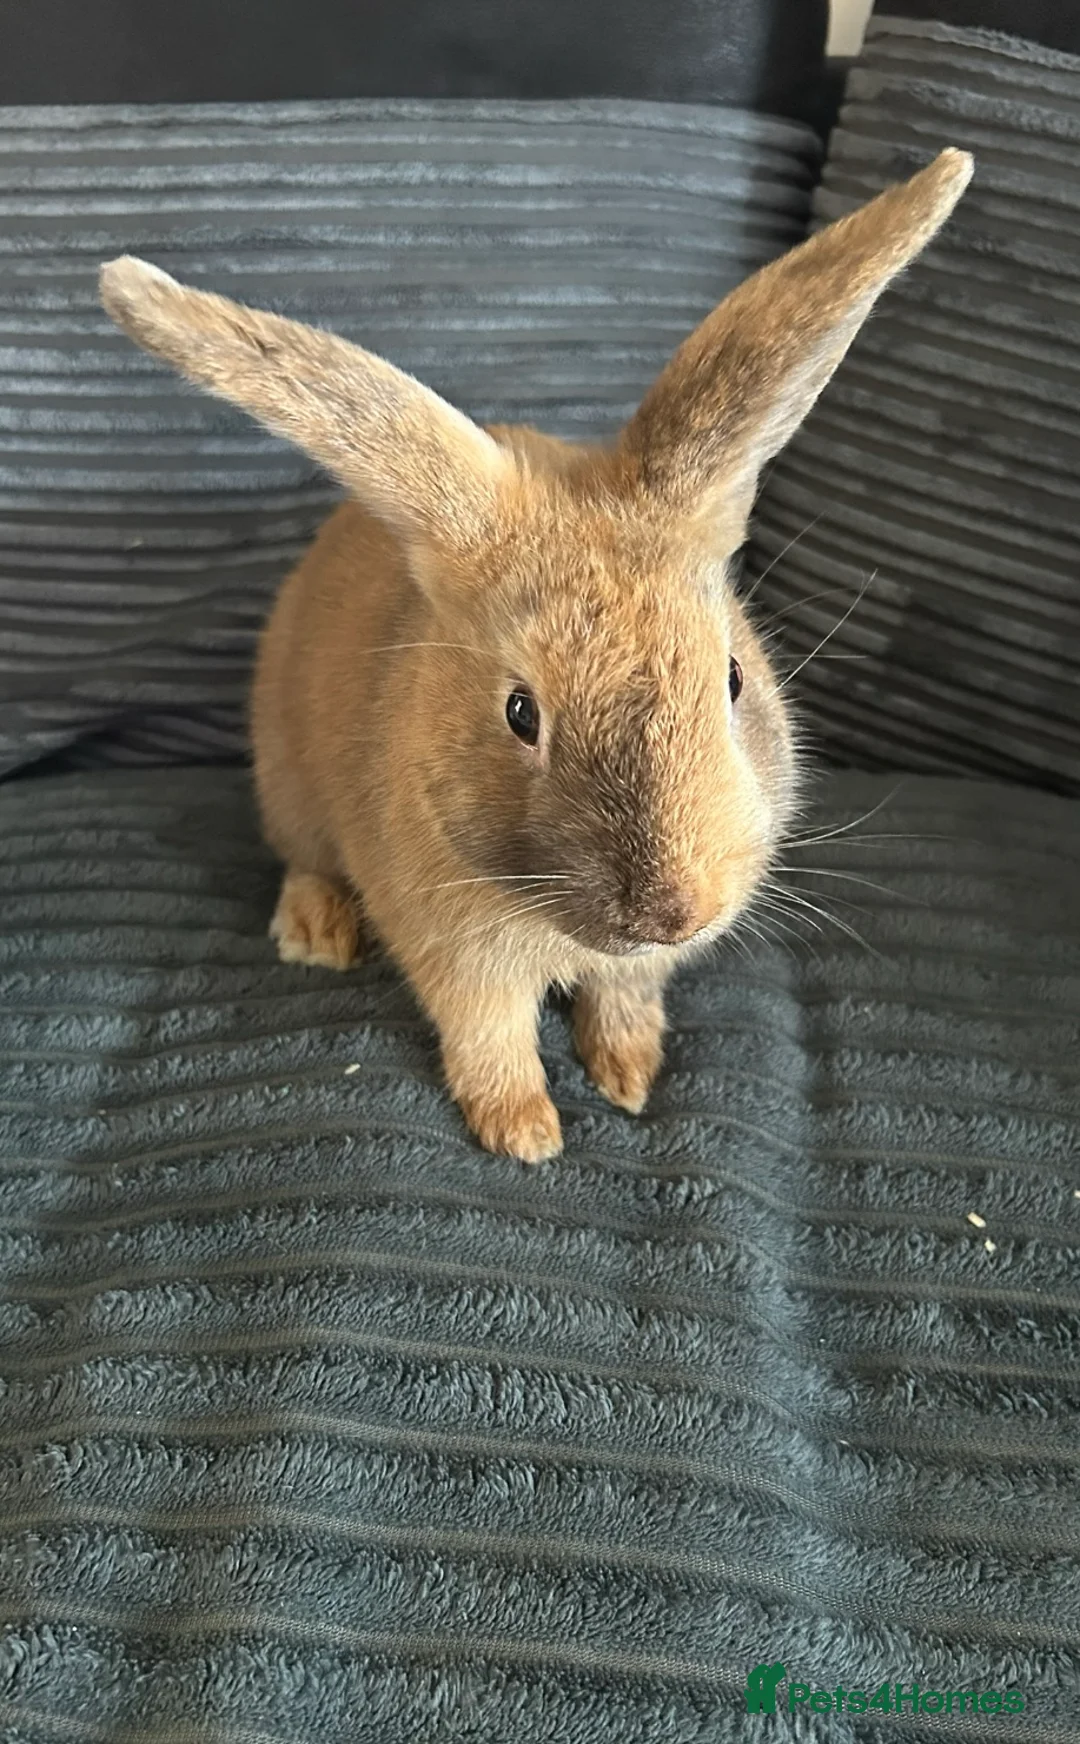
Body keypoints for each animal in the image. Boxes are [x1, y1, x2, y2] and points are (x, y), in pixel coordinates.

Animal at [100, 148, 972, 1163]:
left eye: (732, 679)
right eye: (522, 712)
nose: (673, 910)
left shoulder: (631, 970)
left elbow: (624, 998)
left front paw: (630, 1079)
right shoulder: (457, 959)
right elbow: (490, 1037)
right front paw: (526, 1133)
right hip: (288, 787)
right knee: (304, 857)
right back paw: (316, 932)